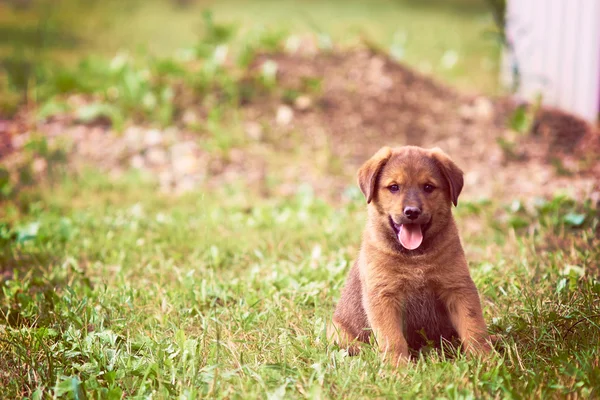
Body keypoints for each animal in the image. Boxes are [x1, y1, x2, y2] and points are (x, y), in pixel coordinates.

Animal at [328, 145, 492, 364]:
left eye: (428, 187)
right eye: (394, 187)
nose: (412, 212)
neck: (415, 258)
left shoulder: (458, 288)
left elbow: (474, 327)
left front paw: (486, 359)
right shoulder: (383, 296)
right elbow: (393, 339)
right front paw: (397, 367)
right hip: (337, 331)